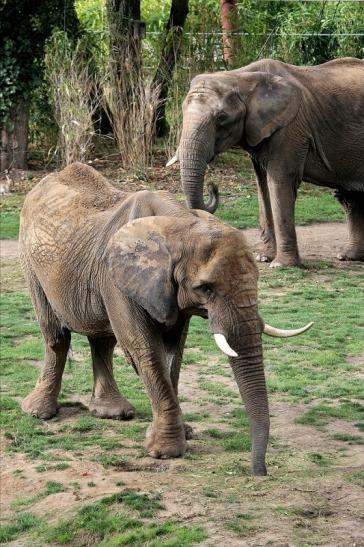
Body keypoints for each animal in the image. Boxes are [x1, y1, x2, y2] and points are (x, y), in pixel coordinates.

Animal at [18, 162, 312, 476]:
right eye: (205, 289)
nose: (260, 473)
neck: (181, 224)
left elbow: (174, 351)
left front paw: (184, 433)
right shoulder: (117, 279)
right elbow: (146, 349)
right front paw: (166, 451)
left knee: (103, 340)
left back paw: (112, 413)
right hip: (32, 265)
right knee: (56, 336)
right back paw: (38, 412)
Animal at [170, 57, 364, 268]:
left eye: (221, 118)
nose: (213, 186)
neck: (240, 77)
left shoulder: (290, 129)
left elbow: (278, 182)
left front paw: (281, 265)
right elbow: (262, 186)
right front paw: (263, 258)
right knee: (350, 198)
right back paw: (347, 256)